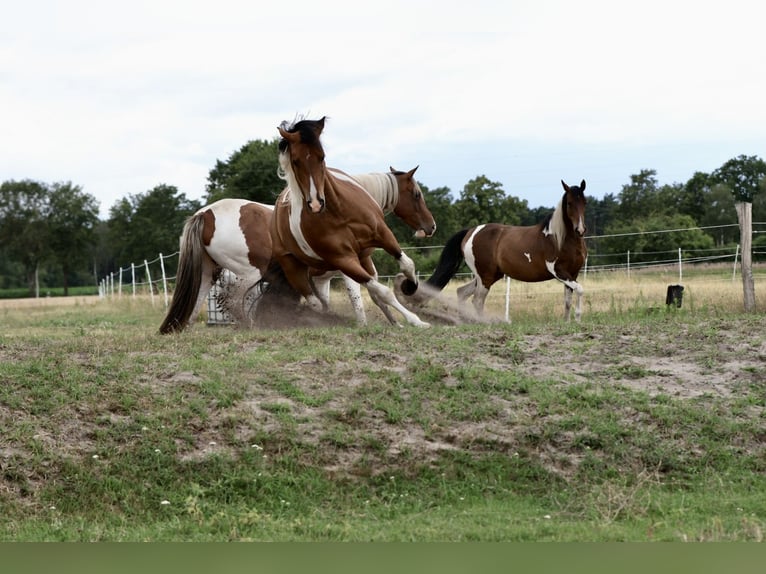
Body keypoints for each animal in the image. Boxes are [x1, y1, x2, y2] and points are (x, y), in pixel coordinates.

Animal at [158, 167, 435, 333]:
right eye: (417, 194)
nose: (431, 226)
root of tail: (206, 214)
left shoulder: (324, 278)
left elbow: (360, 297)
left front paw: (394, 323)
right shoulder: (348, 267)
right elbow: (363, 296)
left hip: (208, 273)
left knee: (198, 302)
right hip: (247, 273)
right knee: (234, 300)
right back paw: (254, 326)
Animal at [264, 116, 429, 327]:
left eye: (322, 157)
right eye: (296, 161)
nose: (431, 226)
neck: (338, 211)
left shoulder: (381, 238)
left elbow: (406, 265)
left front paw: (410, 290)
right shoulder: (345, 260)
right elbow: (379, 291)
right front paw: (414, 320)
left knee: (322, 303)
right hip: (295, 270)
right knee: (316, 304)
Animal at [405, 179, 588, 321]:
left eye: (584, 202)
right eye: (569, 203)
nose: (580, 229)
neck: (560, 239)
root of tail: (471, 231)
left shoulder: (572, 273)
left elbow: (568, 300)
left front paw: (568, 322)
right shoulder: (558, 271)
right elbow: (580, 290)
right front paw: (578, 319)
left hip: (487, 275)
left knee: (462, 292)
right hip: (485, 276)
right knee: (477, 300)